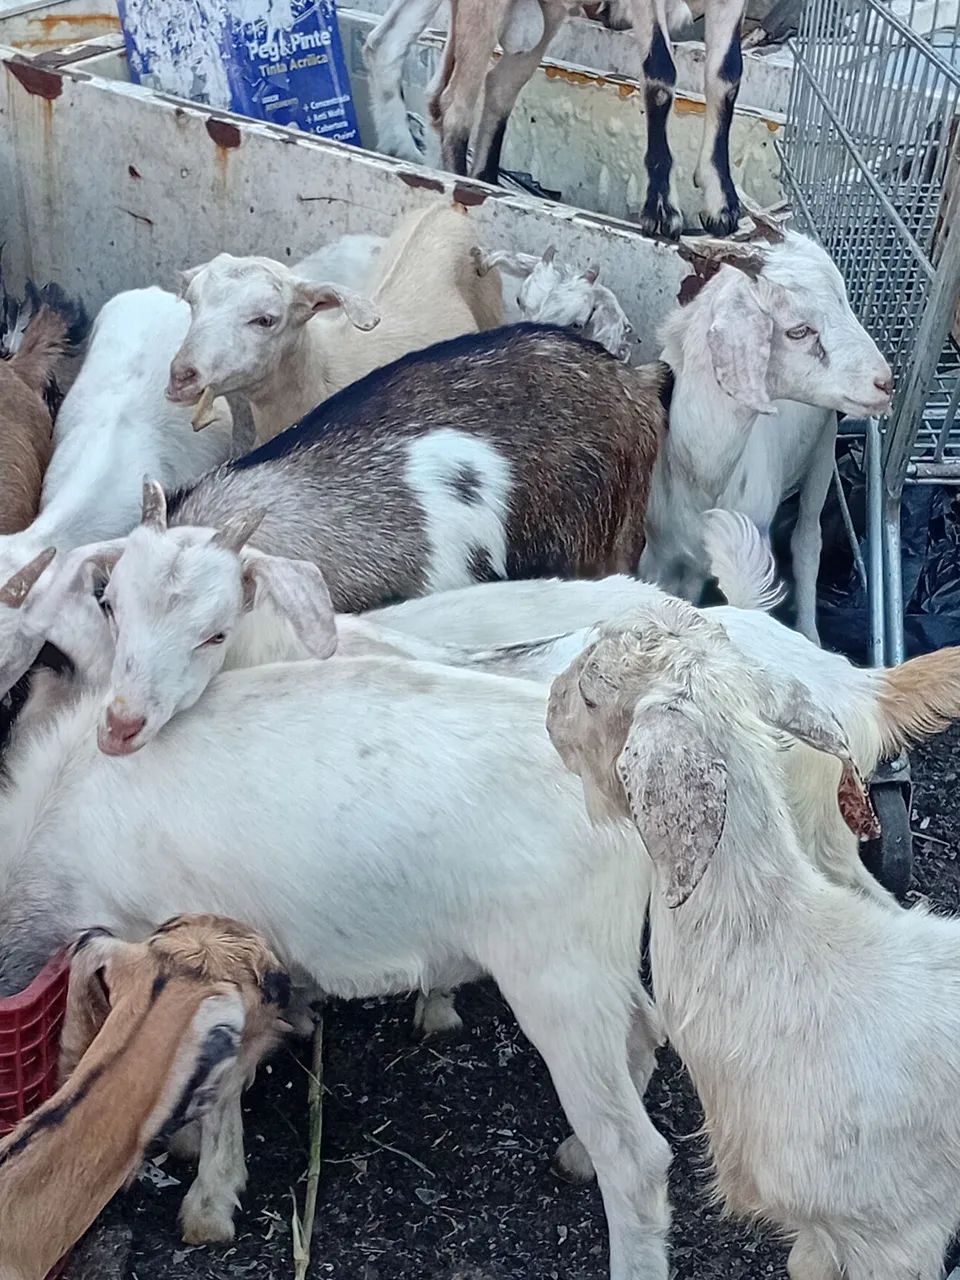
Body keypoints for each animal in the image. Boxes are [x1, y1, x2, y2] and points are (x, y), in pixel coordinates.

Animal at [364, 0, 745, 237]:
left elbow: (726, 77)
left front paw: (722, 204)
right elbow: (661, 72)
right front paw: (662, 210)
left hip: (545, 20)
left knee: (495, 84)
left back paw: (475, 177)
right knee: (454, 101)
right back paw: (462, 185)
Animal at [639, 230, 893, 643]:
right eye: (798, 330)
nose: (885, 382)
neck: (699, 472)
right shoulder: (656, 553)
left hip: (824, 448)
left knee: (807, 541)